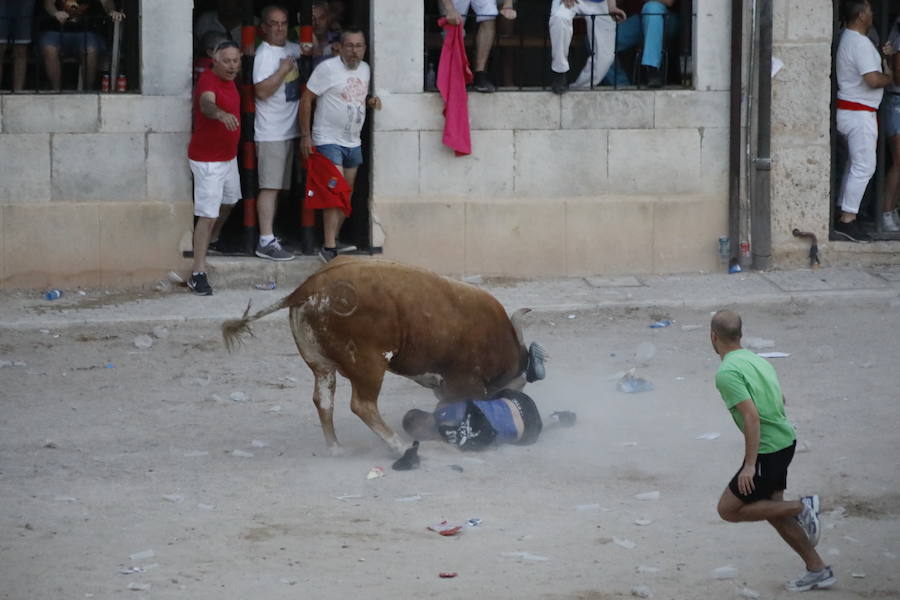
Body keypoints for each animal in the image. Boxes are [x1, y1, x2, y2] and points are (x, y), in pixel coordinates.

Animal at [221, 255, 544, 458]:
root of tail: (307, 287)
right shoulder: (463, 382)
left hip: (321, 365)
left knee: (323, 400)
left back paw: (336, 448)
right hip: (368, 366)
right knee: (362, 405)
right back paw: (399, 447)